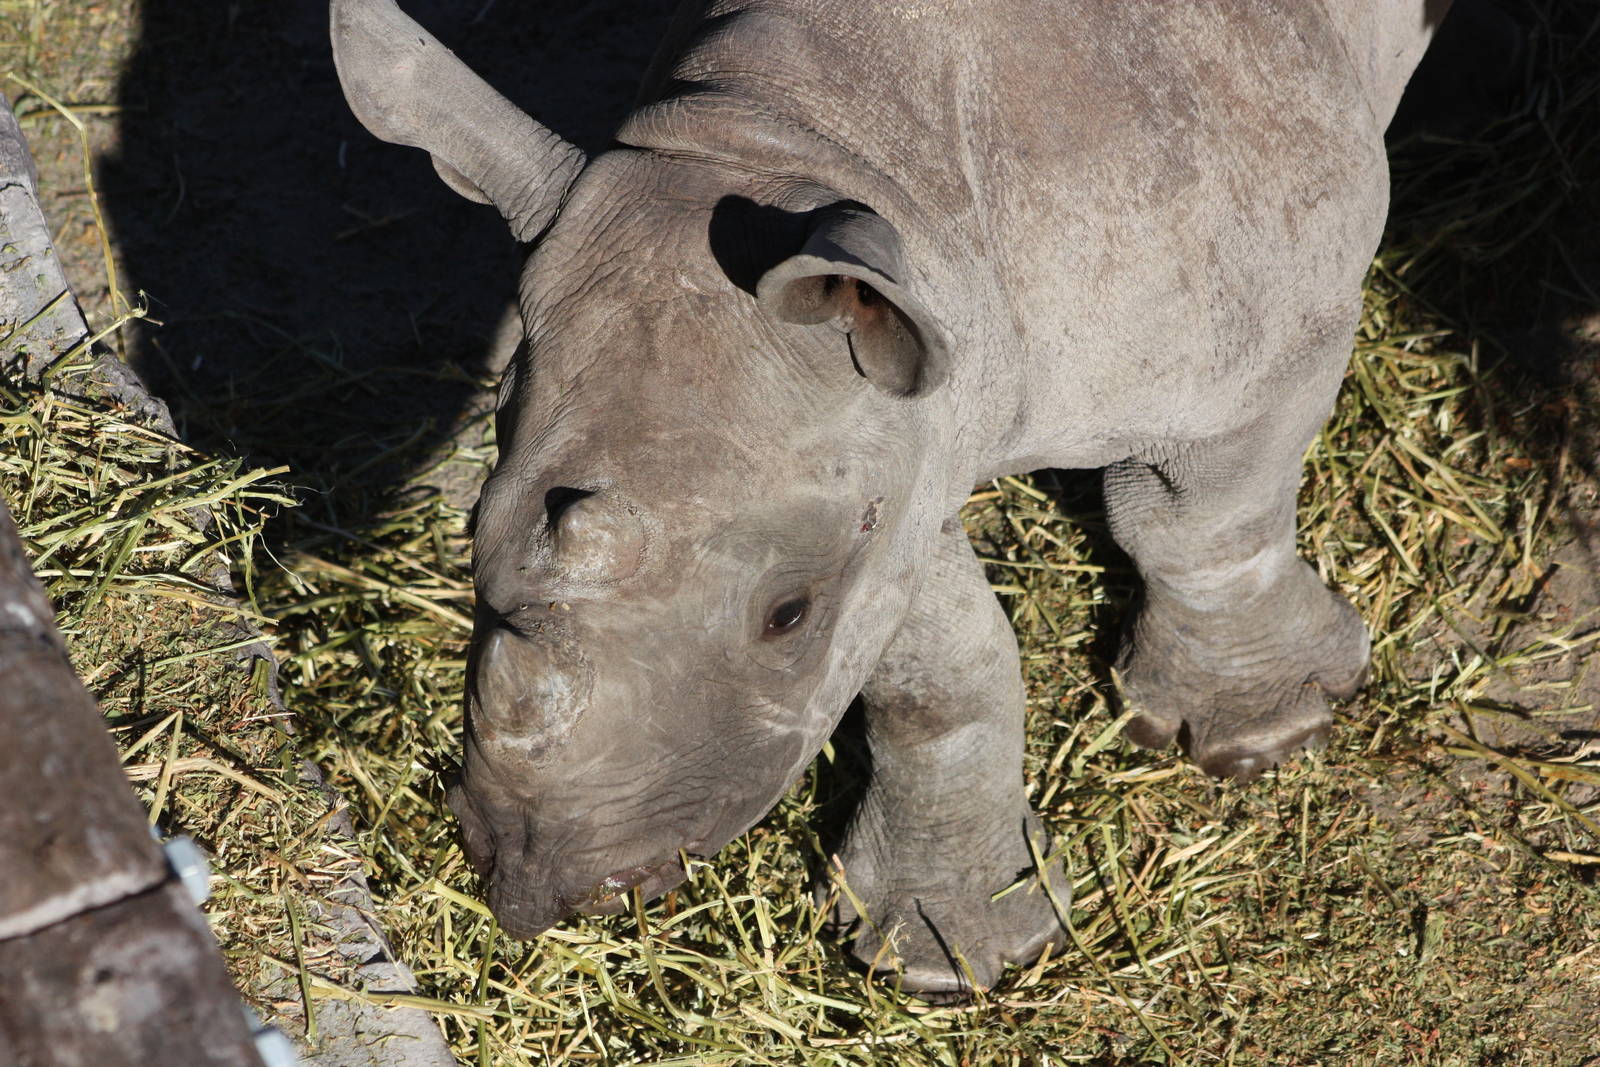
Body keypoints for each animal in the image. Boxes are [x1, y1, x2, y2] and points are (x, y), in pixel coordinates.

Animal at [331, 0, 1444, 996]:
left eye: (786, 614)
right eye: (473, 540)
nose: (530, 885)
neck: (806, 141)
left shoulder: (1266, 332)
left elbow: (1195, 521)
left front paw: (1263, 735)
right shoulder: (900, 417)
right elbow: (931, 663)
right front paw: (946, 957)